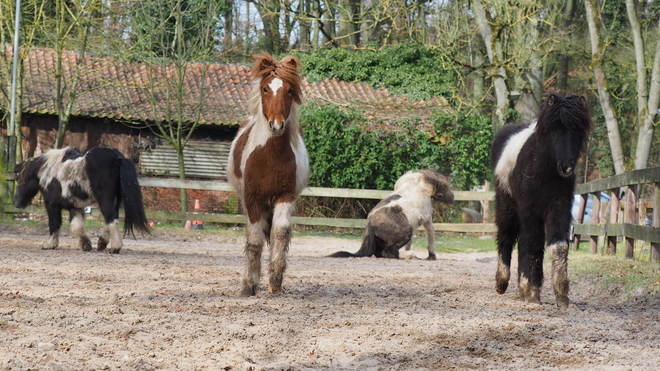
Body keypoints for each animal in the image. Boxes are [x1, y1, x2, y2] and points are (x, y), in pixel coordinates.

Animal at [13, 147, 150, 254]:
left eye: (20, 180)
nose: (16, 203)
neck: (49, 170)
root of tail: (119, 158)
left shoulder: (52, 205)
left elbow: (54, 224)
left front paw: (49, 244)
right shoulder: (75, 207)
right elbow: (77, 226)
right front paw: (86, 244)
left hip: (105, 200)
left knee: (111, 218)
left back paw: (115, 247)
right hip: (115, 200)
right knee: (111, 219)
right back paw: (102, 243)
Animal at [227, 53, 310, 296]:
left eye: (289, 90)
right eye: (265, 88)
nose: (277, 125)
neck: (270, 156)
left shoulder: (285, 196)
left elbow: (280, 233)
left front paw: (275, 281)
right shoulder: (252, 198)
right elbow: (254, 241)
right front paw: (249, 285)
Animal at [490, 92, 592, 308]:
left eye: (577, 129)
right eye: (554, 129)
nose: (566, 167)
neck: (545, 171)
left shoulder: (559, 209)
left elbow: (558, 248)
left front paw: (561, 295)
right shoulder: (530, 210)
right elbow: (535, 247)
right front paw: (534, 293)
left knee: (521, 242)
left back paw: (522, 287)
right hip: (507, 205)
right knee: (506, 237)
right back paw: (502, 283)